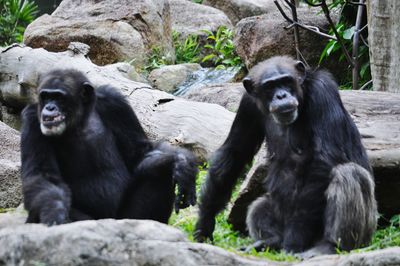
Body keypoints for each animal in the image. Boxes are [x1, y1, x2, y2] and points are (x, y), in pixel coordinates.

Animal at [20, 68, 198, 224]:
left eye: (59, 97)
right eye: (45, 96)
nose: (49, 107)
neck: (79, 120)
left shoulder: (116, 104)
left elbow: (139, 152)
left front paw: (182, 161)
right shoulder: (32, 119)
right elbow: (42, 175)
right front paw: (54, 213)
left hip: (126, 217)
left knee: (160, 172)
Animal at [195, 55, 376, 258]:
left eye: (286, 81)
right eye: (270, 86)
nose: (281, 95)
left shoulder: (323, 91)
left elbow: (325, 157)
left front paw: (295, 238)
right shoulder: (248, 104)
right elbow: (235, 151)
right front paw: (204, 223)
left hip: (364, 233)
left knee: (349, 174)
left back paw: (327, 246)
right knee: (258, 206)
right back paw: (269, 241)